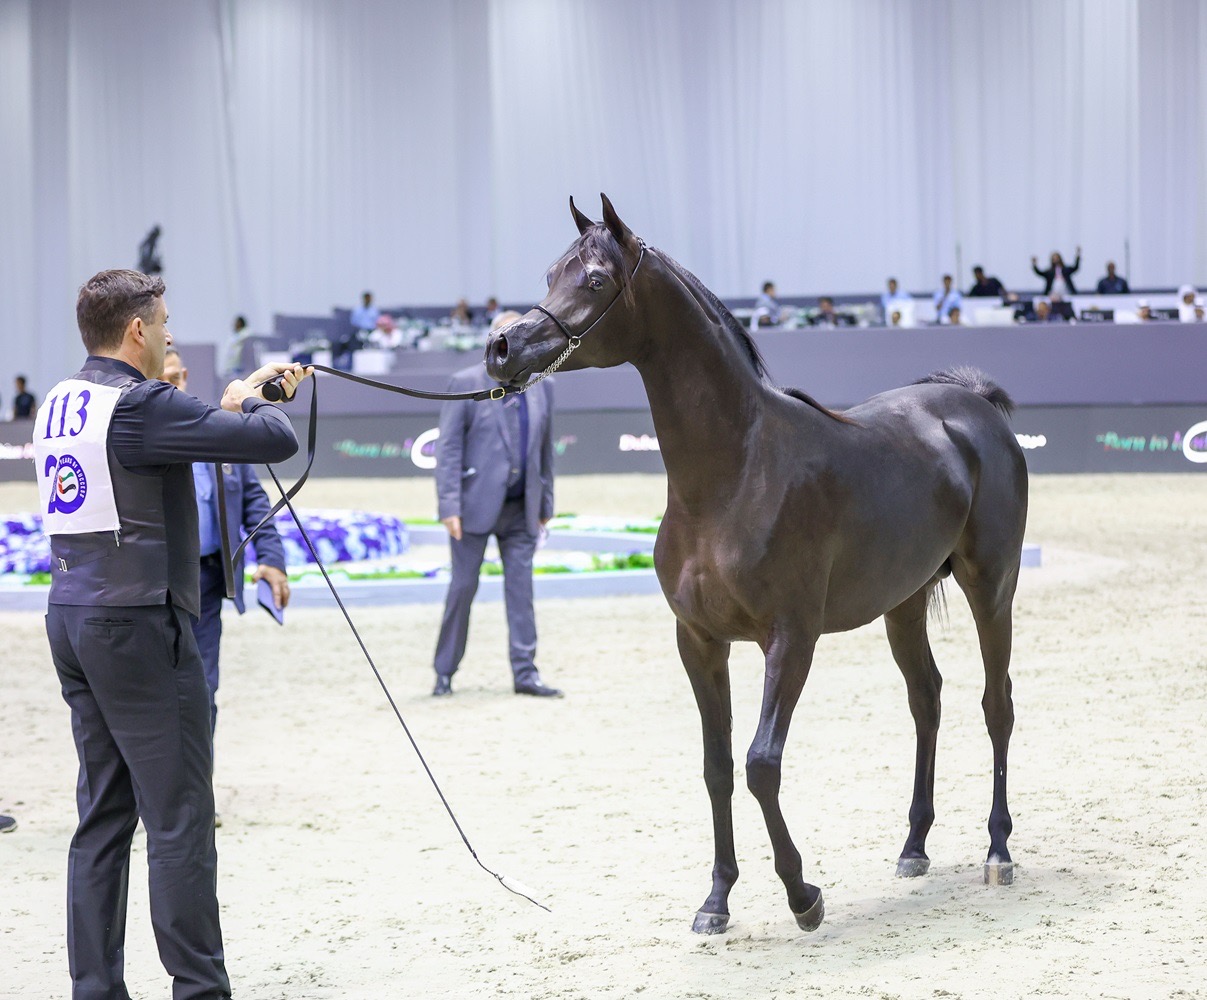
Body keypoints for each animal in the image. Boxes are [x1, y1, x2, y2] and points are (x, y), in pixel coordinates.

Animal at [482, 196, 1028, 936]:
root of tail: (974, 405)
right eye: (550, 272)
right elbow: (716, 766)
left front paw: (803, 895)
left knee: (995, 703)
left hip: (990, 587)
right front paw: (716, 899)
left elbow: (761, 764)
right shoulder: (698, 641)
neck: (733, 474)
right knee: (927, 699)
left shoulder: (789, 639)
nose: (501, 348)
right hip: (903, 601)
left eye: (594, 280)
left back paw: (998, 850)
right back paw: (913, 846)